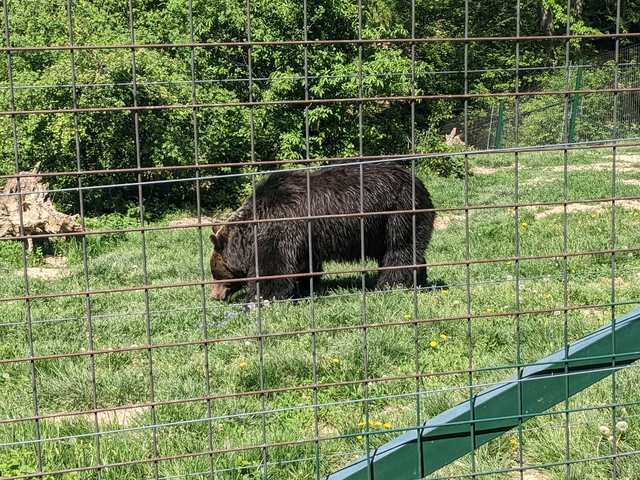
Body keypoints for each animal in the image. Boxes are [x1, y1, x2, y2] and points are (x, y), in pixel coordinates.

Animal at [209, 162, 435, 304]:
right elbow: (304, 266)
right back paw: (419, 280)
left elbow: (272, 269)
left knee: (399, 250)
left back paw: (388, 285)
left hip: (398, 215)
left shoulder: (280, 228)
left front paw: (258, 299)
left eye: (215, 273)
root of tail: (418, 182)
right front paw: (304, 288)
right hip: (381, 229)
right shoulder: (302, 239)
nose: (214, 296)